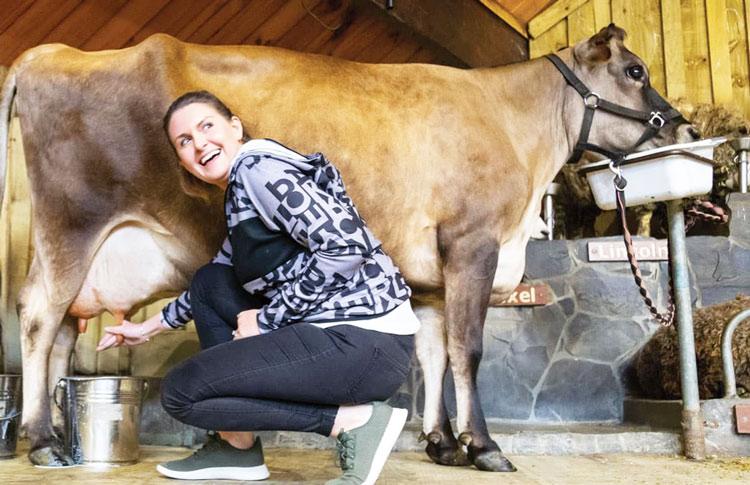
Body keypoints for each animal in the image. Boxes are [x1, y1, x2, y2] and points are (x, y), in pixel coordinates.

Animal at [0, 25, 696, 468]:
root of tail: (52, 54)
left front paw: (442, 443)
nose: (686, 127)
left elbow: (432, 354)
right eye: (635, 71)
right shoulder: (472, 243)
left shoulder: (432, 278)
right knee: (38, 316)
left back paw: (51, 434)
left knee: (62, 328)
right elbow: (467, 351)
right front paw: (485, 447)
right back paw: (39, 440)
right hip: (73, 223)